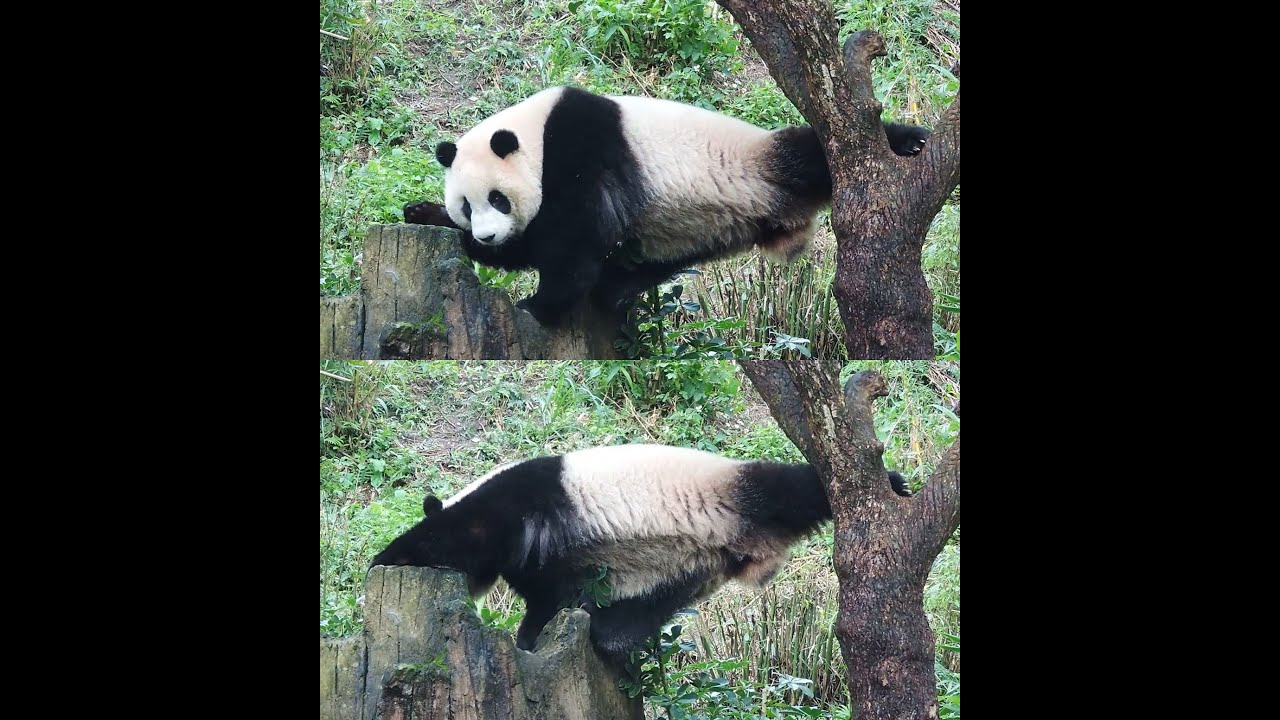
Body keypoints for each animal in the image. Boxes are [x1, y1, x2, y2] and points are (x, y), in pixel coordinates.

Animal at [369, 443, 912, 666]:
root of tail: (756, 551)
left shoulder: (519, 519)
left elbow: (530, 584)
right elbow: (549, 593)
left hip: (738, 490)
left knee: (793, 488)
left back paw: (892, 483)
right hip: (683, 573)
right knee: (631, 617)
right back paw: (617, 639)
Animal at [402, 86, 930, 326]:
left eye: (497, 198)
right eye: (466, 205)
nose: (487, 234)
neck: (537, 134)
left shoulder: (581, 152)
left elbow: (573, 241)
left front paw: (537, 306)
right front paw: (423, 214)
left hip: (767, 159)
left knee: (811, 153)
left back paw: (909, 141)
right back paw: (614, 294)